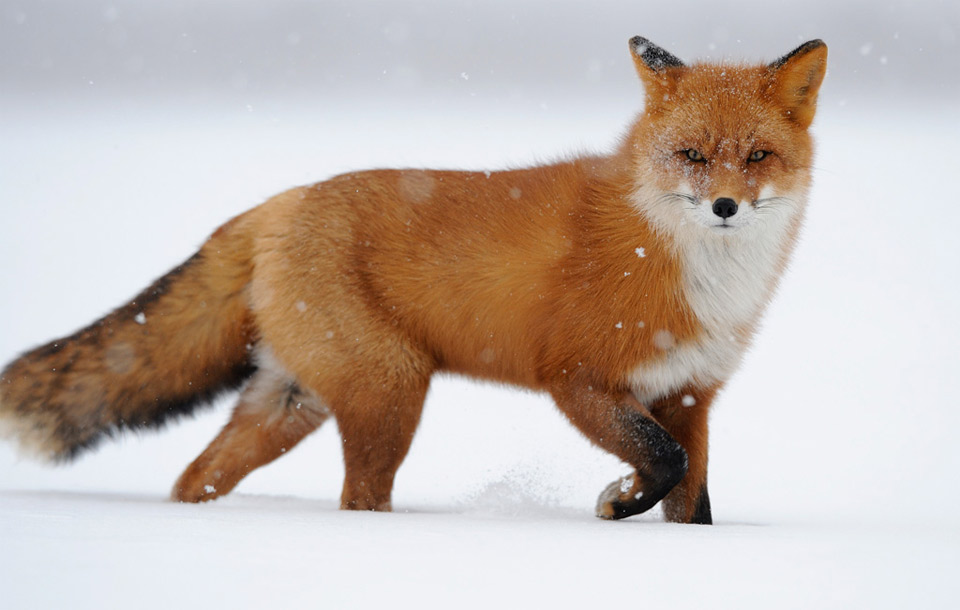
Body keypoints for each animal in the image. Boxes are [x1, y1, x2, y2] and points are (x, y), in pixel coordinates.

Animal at [0, 39, 824, 524]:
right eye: (691, 155)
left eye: (757, 157)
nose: (724, 207)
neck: (686, 269)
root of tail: (281, 201)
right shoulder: (576, 377)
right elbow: (661, 462)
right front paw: (616, 504)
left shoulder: (690, 395)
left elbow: (692, 497)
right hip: (390, 391)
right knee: (358, 500)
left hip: (291, 404)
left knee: (195, 476)